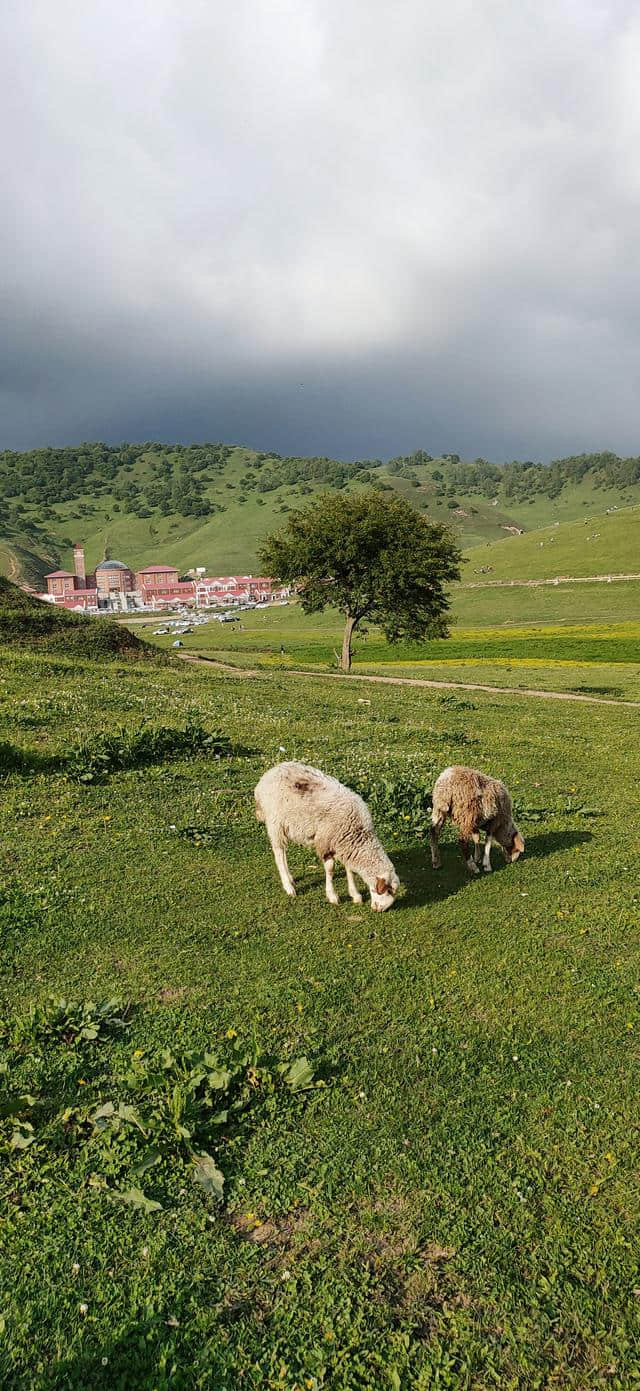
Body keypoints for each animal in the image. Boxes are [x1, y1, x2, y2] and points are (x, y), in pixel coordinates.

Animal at [251, 762, 397, 912]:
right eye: (387, 891)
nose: (377, 909)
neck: (357, 833)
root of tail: (270, 772)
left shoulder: (344, 845)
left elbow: (349, 870)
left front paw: (355, 895)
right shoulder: (326, 843)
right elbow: (330, 868)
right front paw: (332, 896)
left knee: (283, 852)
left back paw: (290, 878)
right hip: (275, 823)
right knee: (279, 853)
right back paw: (288, 886)